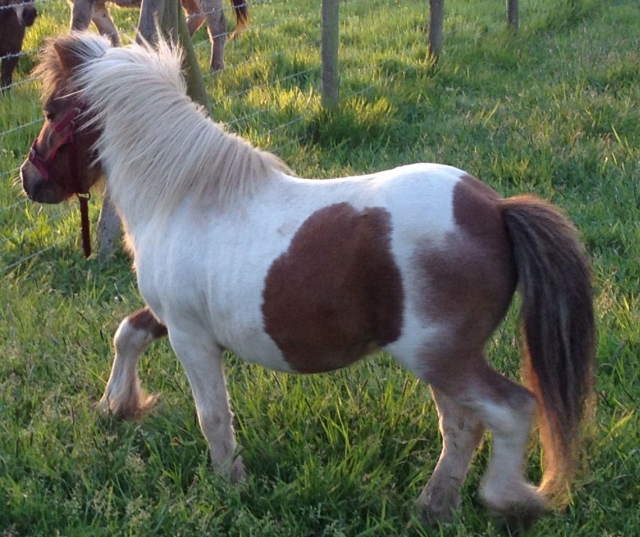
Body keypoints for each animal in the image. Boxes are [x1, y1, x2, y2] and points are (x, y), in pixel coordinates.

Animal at [20, 32, 596, 526]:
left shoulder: (190, 336)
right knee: (462, 426)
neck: (185, 198)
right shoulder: (174, 319)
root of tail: (496, 209)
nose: (29, 180)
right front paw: (116, 406)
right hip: (444, 359)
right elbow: (129, 332)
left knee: (510, 410)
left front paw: (232, 485)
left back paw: (510, 499)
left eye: (50, 112)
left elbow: (213, 416)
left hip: (439, 356)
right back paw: (434, 507)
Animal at [69, 0, 248, 70]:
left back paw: (216, 67)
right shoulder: (96, 6)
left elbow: (76, 31)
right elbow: (110, 34)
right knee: (196, 14)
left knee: (218, 24)